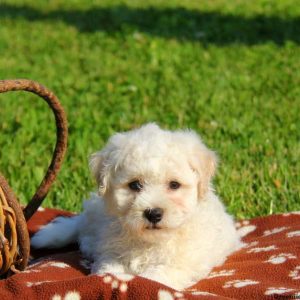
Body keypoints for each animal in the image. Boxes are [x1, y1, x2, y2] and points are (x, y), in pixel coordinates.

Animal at [31, 123, 241, 290]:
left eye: (174, 185)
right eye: (135, 185)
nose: (153, 213)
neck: (148, 241)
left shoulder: (178, 265)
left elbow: (152, 278)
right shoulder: (111, 251)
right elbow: (109, 268)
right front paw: (111, 280)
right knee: (80, 225)